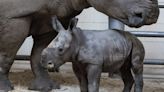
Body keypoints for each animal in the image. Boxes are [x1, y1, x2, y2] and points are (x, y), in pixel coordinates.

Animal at [0, 0, 159, 91]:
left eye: (61, 50)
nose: (152, 15)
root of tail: (135, 38)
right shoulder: (15, 15)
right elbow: (9, 53)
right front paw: (5, 88)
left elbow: (37, 51)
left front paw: (44, 87)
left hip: (136, 45)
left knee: (133, 68)